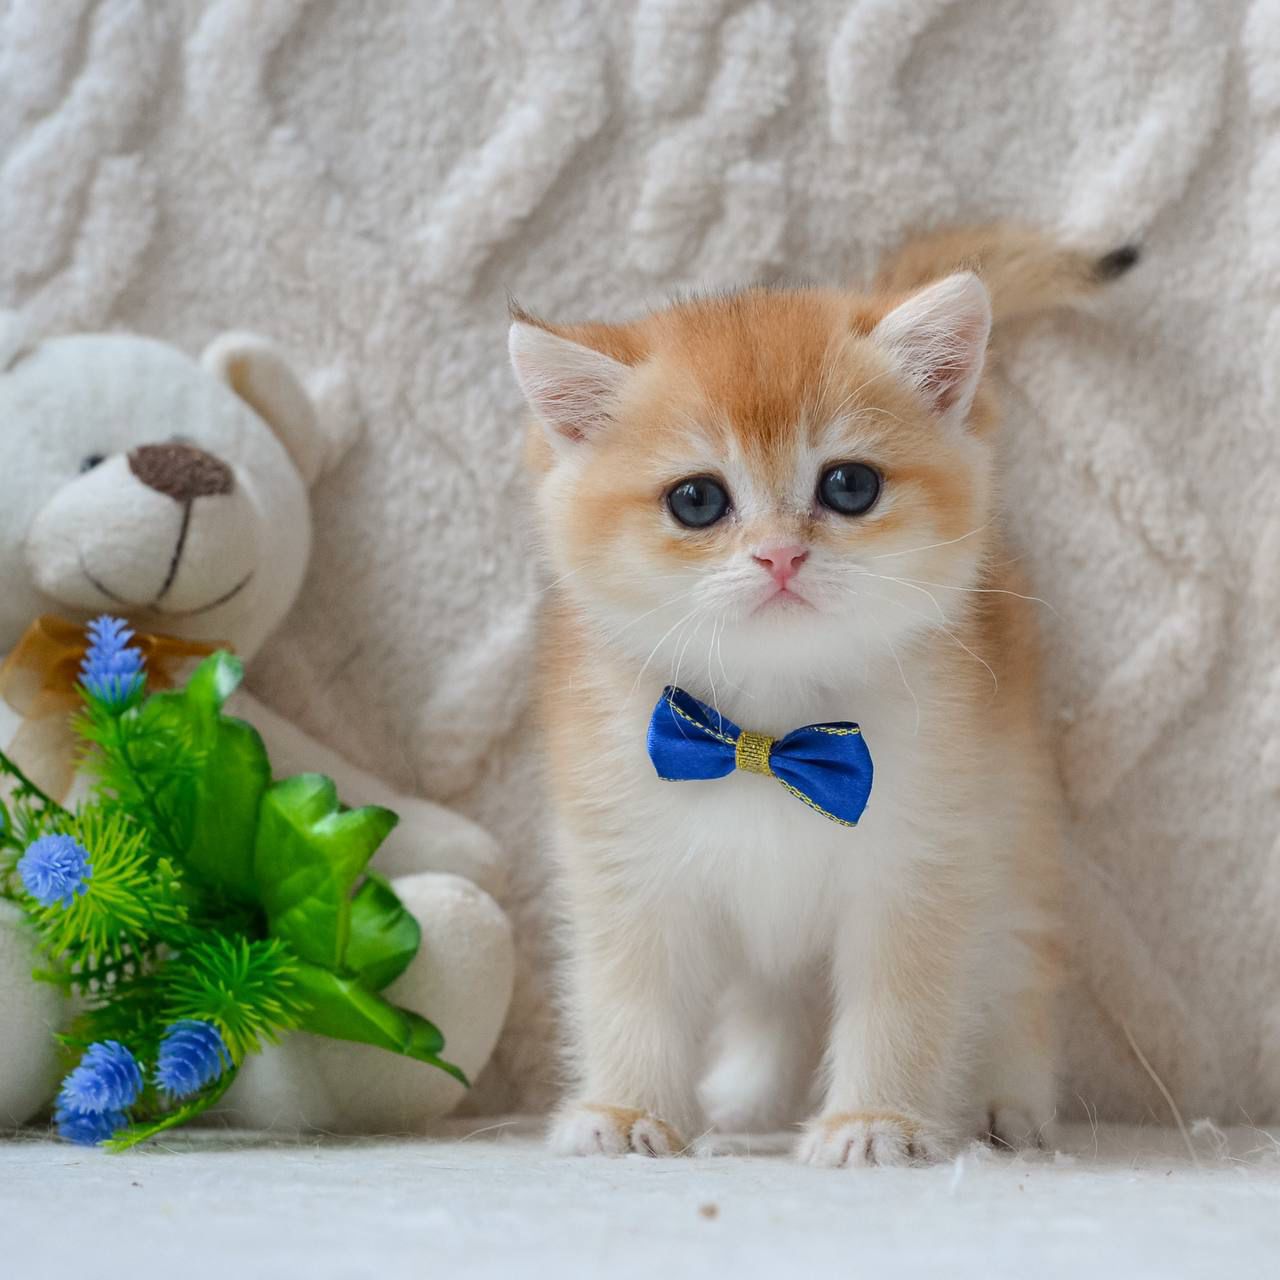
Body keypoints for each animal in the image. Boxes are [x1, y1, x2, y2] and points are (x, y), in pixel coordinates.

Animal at [508, 225, 1138, 1167]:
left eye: (849, 486)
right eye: (697, 500)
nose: (780, 556)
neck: (771, 734)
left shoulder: (923, 861)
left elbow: (903, 1004)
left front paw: (875, 1122)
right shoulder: (628, 864)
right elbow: (633, 995)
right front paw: (625, 1110)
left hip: (1016, 824)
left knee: (1019, 957)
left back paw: (1006, 1105)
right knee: (773, 1002)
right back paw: (747, 1103)